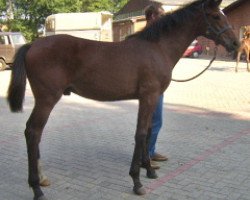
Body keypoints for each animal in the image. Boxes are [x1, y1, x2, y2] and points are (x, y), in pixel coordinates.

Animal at [7, 0, 238, 199]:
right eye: (216, 16)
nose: (235, 44)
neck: (157, 48)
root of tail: (33, 45)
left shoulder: (150, 99)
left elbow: (148, 132)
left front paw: (149, 171)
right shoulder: (148, 96)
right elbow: (141, 134)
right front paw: (137, 182)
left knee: (34, 134)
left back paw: (42, 179)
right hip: (47, 99)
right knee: (33, 132)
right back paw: (37, 188)